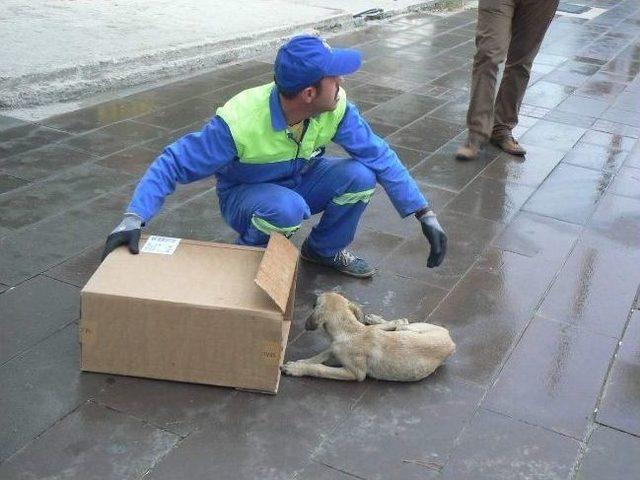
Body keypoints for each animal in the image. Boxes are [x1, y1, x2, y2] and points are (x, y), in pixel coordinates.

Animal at [280, 290, 456, 380]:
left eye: (315, 303)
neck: (351, 330)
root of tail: (451, 340)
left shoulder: (355, 373)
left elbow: (320, 368)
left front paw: (297, 368)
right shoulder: (335, 347)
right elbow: (321, 355)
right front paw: (302, 362)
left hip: (409, 331)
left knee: (401, 322)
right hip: (408, 329)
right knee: (399, 322)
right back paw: (374, 319)